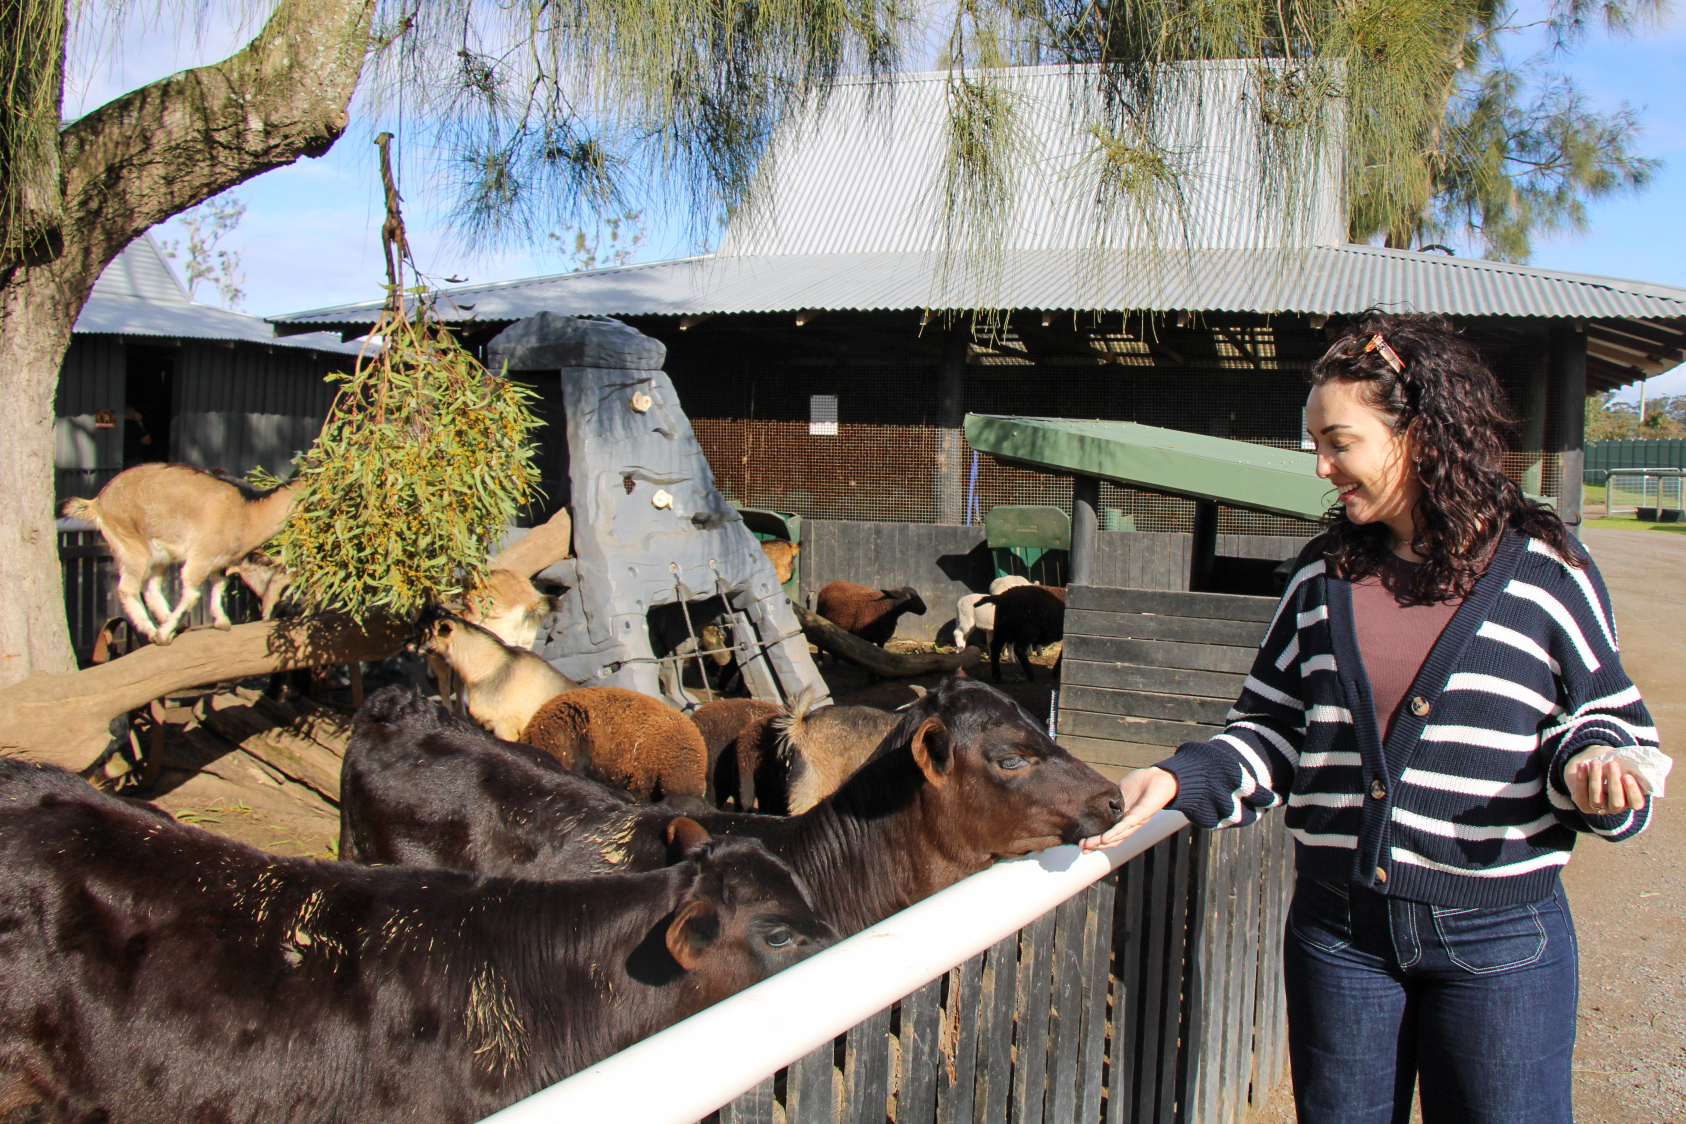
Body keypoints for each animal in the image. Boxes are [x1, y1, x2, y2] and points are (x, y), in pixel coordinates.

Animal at [60, 465, 293, 640]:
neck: (248, 509)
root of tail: (98, 502)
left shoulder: (220, 559)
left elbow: (219, 584)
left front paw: (222, 622)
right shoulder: (202, 555)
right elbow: (192, 592)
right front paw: (163, 635)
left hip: (159, 556)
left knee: (151, 587)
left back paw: (173, 625)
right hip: (132, 545)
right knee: (128, 588)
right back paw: (154, 631)